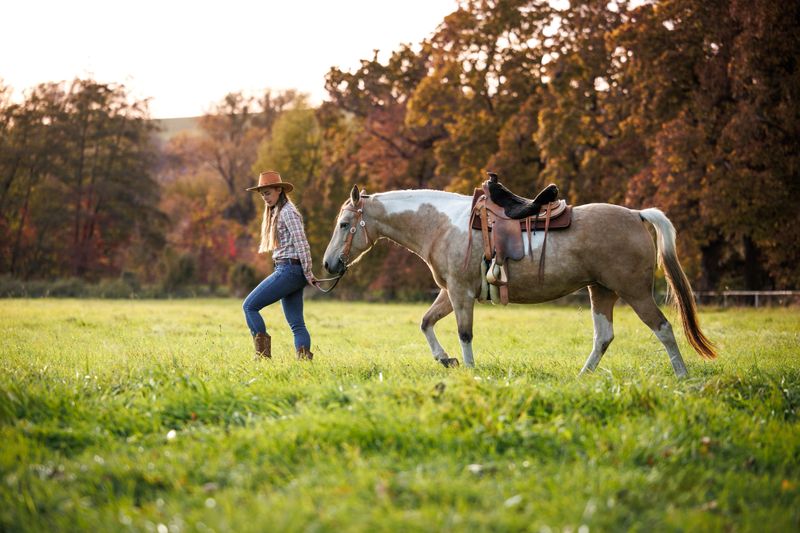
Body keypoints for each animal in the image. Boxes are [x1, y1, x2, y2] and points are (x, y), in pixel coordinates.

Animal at [322, 185, 716, 377]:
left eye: (344, 224)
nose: (327, 262)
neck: (441, 224)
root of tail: (636, 215)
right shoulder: (450, 292)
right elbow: (426, 323)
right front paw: (445, 360)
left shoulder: (461, 293)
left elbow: (464, 334)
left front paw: (468, 370)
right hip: (601, 291)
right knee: (603, 337)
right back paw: (582, 376)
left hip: (633, 291)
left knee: (663, 328)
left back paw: (682, 377)